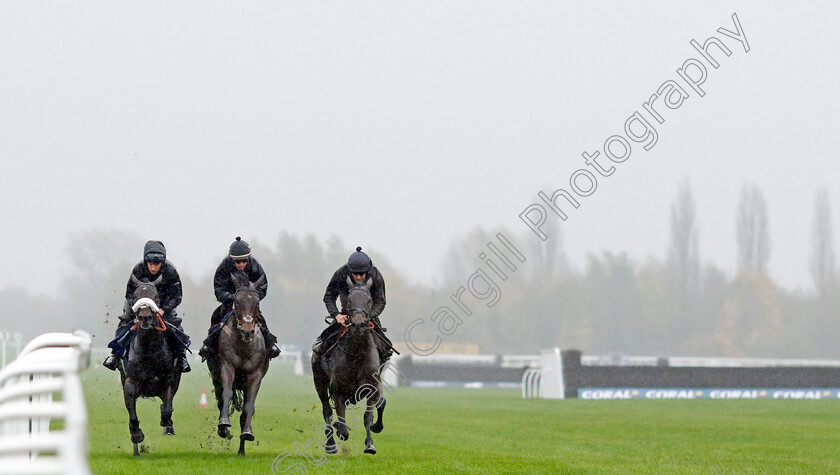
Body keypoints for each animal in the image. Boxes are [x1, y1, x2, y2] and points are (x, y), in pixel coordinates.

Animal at [116, 276, 182, 458]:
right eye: (135, 296)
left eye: (156, 297)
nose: (145, 317)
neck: (148, 350)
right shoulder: (130, 381)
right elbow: (132, 414)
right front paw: (137, 435)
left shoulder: (168, 381)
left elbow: (167, 410)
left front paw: (167, 423)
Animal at [207, 274, 270, 456]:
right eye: (237, 301)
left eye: (257, 302)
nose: (247, 331)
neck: (243, 345)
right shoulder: (227, 367)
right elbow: (226, 395)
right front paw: (224, 423)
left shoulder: (256, 374)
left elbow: (248, 407)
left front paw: (247, 433)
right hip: (216, 378)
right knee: (220, 400)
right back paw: (224, 431)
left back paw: (241, 449)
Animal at [314, 278, 386, 456]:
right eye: (349, 301)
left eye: (369, 300)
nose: (358, 323)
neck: (357, 352)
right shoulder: (338, 391)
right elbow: (340, 421)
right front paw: (339, 432)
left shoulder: (373, 388)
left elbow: (368, 416)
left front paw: (370, 444)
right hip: (319, 382)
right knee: (327, 411)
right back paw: (331, 444)